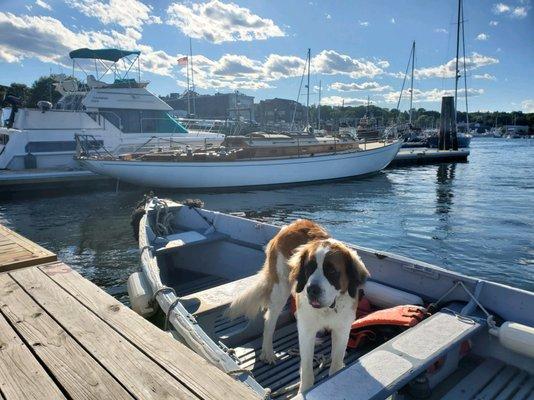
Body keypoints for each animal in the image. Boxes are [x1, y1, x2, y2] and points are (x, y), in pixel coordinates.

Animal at [228, 217, 370, 392]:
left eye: (331, 271)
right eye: (309, 268)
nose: (311, 289)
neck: (328, 308)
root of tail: (292, 225)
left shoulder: (342, 329)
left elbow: (336, 362)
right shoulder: (307, 330)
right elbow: (307, 366)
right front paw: (305, 389)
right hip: (281, 289)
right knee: (270, 320)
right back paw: (268, 352)